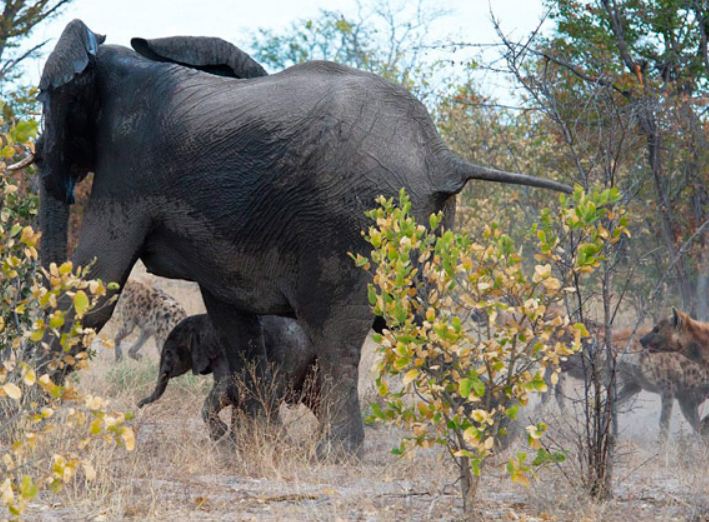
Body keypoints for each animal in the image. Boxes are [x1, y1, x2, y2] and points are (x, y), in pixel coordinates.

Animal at [138, 312, 318, 438]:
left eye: (168, 353)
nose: (138, 405)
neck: (202, 319)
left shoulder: (222, 353)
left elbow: (227, 388)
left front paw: (220, 434)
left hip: (290, 356)